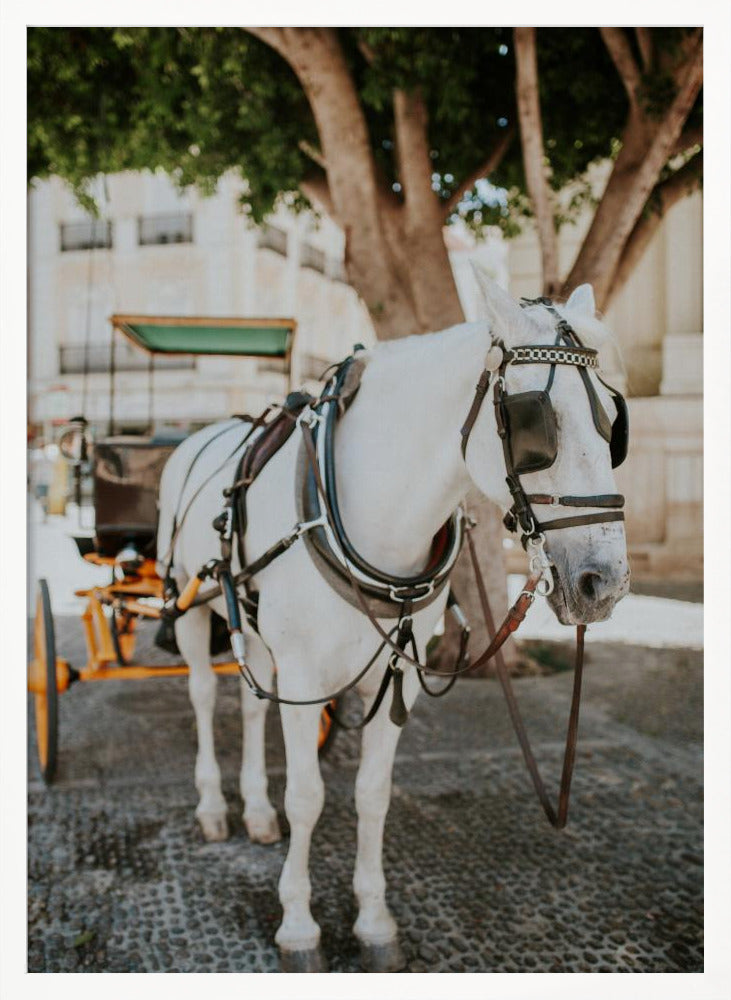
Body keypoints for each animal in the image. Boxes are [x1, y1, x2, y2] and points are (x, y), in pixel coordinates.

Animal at [156, 277, 630, 972]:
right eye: (534, 422)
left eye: (615, 426)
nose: (606, 583)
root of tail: (200, 433)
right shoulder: (306, 675)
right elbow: (309, 797)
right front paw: (298, 924)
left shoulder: (397, 668)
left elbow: (372, 794)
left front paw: (374, 919)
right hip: (190, 608)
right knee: (199, 696)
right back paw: (215, 806)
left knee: (250, 705)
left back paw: (258, 812)